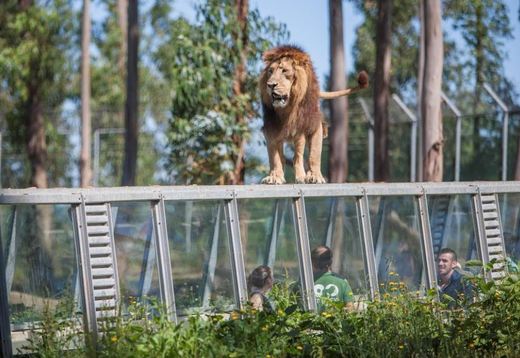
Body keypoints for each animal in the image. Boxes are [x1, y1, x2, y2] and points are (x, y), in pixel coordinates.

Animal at [258, 45, 368, 185]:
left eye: (284, 71)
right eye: (270, 71)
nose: (270, 85)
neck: (288, 108)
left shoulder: (312, 125)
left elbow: (314, 154)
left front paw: (314, 176)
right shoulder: (271, 128)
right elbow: (274, 157)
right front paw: (274, 177)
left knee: (298, 156)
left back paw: (302, 176)